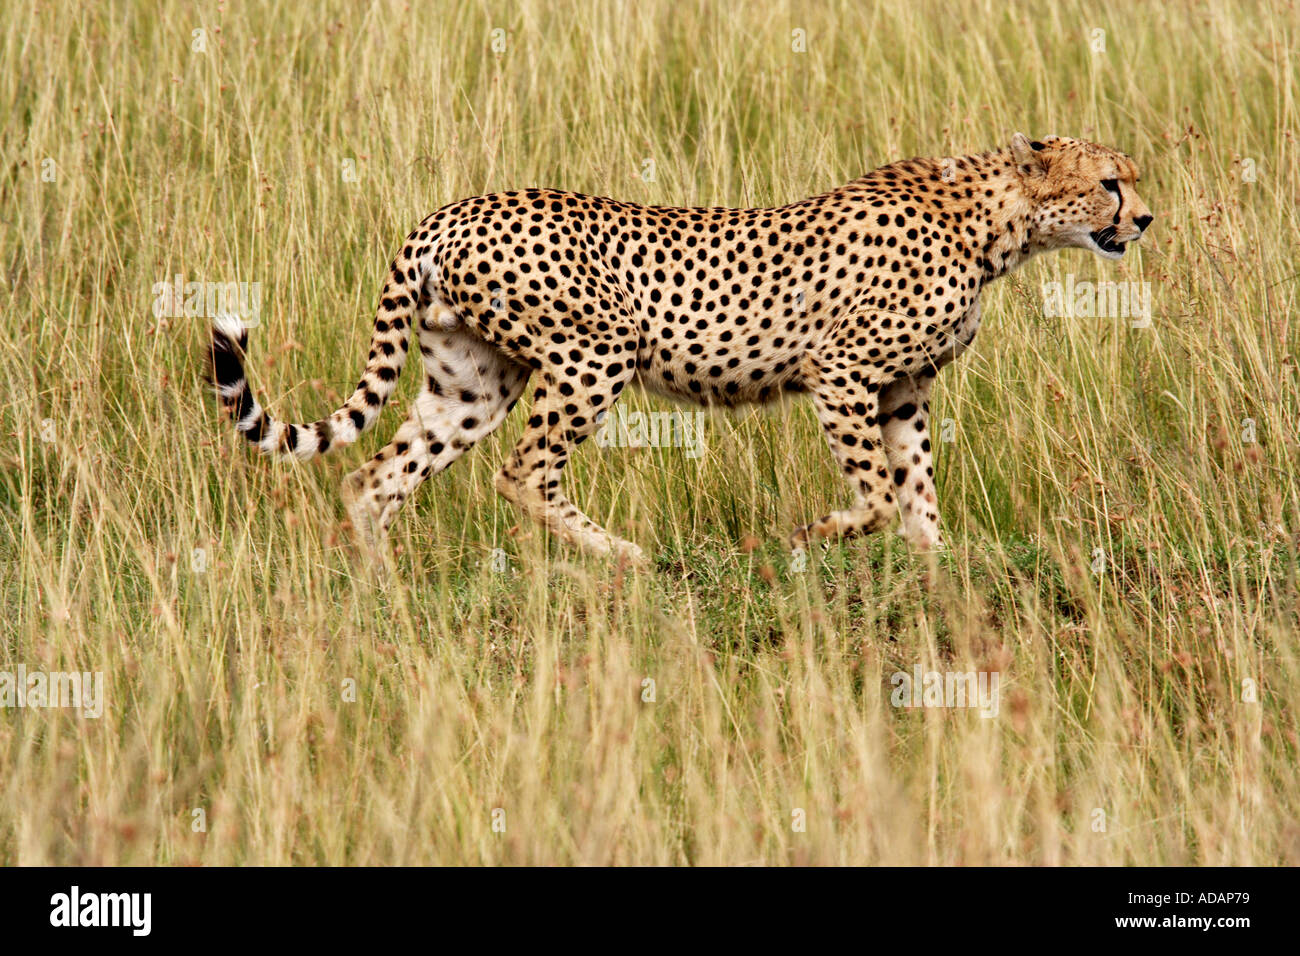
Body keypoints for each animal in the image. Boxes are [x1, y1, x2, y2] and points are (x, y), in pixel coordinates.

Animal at [208, 134, 1154, 567]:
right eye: (1111, 181)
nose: (1144, 219)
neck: (997, 227)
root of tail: (447, 212)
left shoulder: (906, 389)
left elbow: (916, 489)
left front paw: (937, 571)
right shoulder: (842, 373)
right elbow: (880, 493)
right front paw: (813, 533)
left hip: (471, 383)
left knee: (373, 478)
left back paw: (382, 593)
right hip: (594, 353)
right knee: (523, 472)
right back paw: (625, 558)